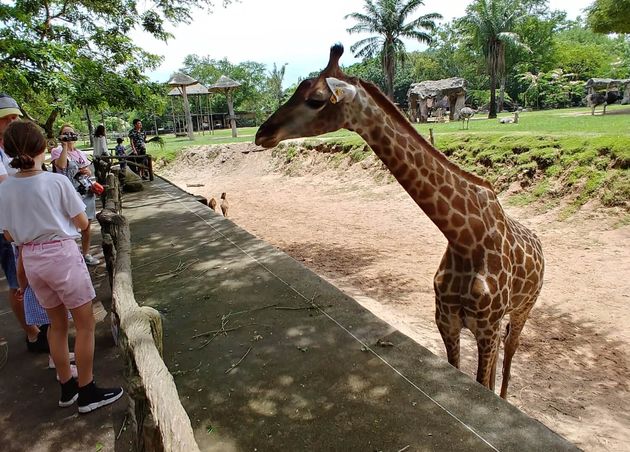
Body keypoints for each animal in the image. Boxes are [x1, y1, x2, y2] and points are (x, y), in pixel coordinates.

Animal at [254, 45, 544, 400]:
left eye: (316, 99)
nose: (263, 133)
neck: (465, 236)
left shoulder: (486, 326)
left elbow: (482, 381)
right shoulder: (446, 320)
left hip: (522, 309)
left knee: (510, 351)